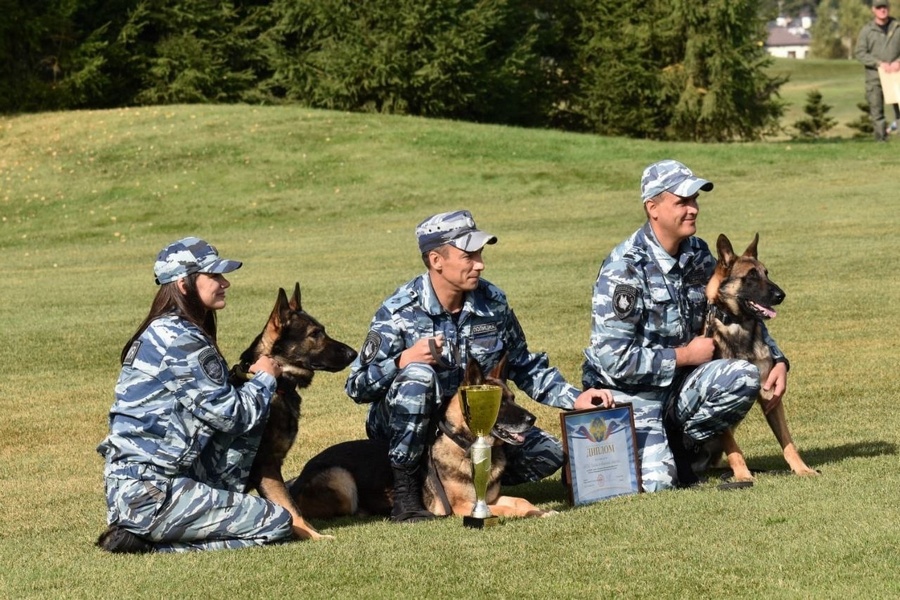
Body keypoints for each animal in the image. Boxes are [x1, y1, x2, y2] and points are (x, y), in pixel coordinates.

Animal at [230, 284, 356, 540]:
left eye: (323, 330)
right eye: (314, 334)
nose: (354, 354)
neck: (277, 384)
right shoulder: (267, 466)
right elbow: (291, 508)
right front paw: (316, 536)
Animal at [288, 356, 556, 520]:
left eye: (513, 398)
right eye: (500, 404)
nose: (532, 419)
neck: (464, 444)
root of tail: (298, 479)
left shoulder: (489, 496)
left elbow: (520, 500)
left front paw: (540, 511)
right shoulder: (464, 506)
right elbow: (505, 510)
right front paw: (534, 513)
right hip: (343, 479)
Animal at [700, 234, 820, 482]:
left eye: (767, 273)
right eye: (751, 276)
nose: (781, 295)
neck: (739, 325)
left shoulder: (770, 395)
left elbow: (787, 441)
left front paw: (802, 469)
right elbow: (733, 446)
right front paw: (743, 475)